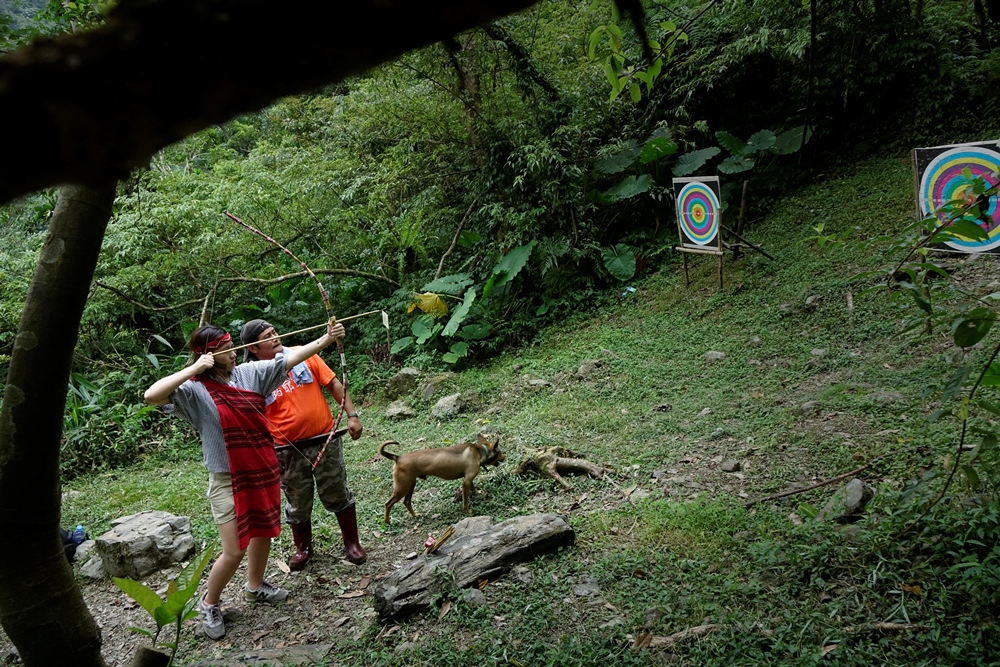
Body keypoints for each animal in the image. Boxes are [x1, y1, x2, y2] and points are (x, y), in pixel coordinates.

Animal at [380, 436, 508, 524]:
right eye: (500, 452)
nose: (505, 457)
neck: (480, 451)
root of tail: (397, 458)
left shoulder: (468, 479)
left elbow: (473, 487)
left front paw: (478, 492)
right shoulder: (466, 482)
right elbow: (465, 500)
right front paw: (467, 511)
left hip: (410, 484)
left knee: (406, 502)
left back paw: (415, 515)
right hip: (402, 487)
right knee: (388, 504)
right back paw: (387, 522)